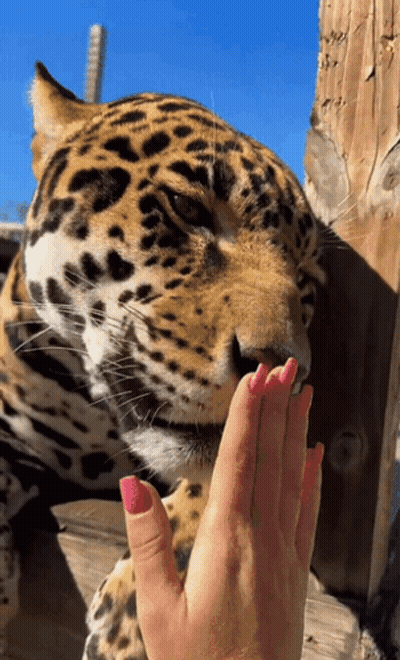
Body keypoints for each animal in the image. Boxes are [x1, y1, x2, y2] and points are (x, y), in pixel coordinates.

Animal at [0, 61, 325, 659]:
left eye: (306, 283)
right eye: (188, 209)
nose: (277, 366)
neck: (97, 418)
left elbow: (224, 475)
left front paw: (130, 617)